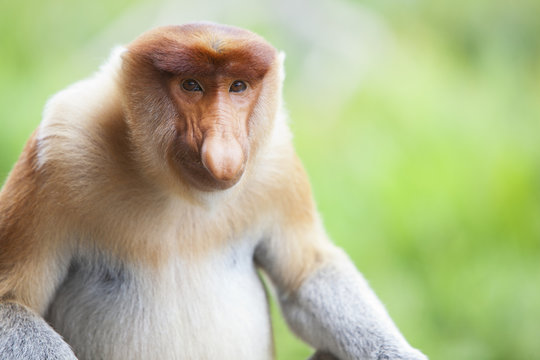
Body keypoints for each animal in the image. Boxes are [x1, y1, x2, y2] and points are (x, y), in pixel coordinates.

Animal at [0, 22, 426, 360]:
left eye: (238, 86)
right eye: (192, 85)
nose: (222, 150)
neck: (176, 189)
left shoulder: (277, 165)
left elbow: (306, 272)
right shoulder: (59, 151)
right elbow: (11, 302)